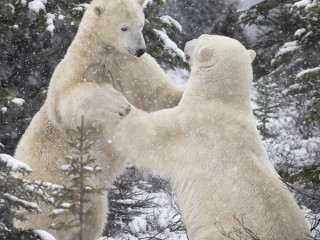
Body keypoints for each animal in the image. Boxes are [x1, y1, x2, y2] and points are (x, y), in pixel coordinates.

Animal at [13, 0, 182, 240]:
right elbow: (69, 100)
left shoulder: (130, 66)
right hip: (50, 191)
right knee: (46, 223)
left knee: (93, 222)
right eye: (123, 27)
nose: (140, 50)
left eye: (141, 24)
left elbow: (158, 94)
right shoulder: (78, 69)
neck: (105, 51)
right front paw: (119, 104)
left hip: (92, 197)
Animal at [111, 34, 312, 239]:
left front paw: (115, 103)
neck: (220, 101)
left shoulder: (189, 128)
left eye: (200, 37)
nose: (186, 43)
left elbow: (145, 135)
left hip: (224, 229)